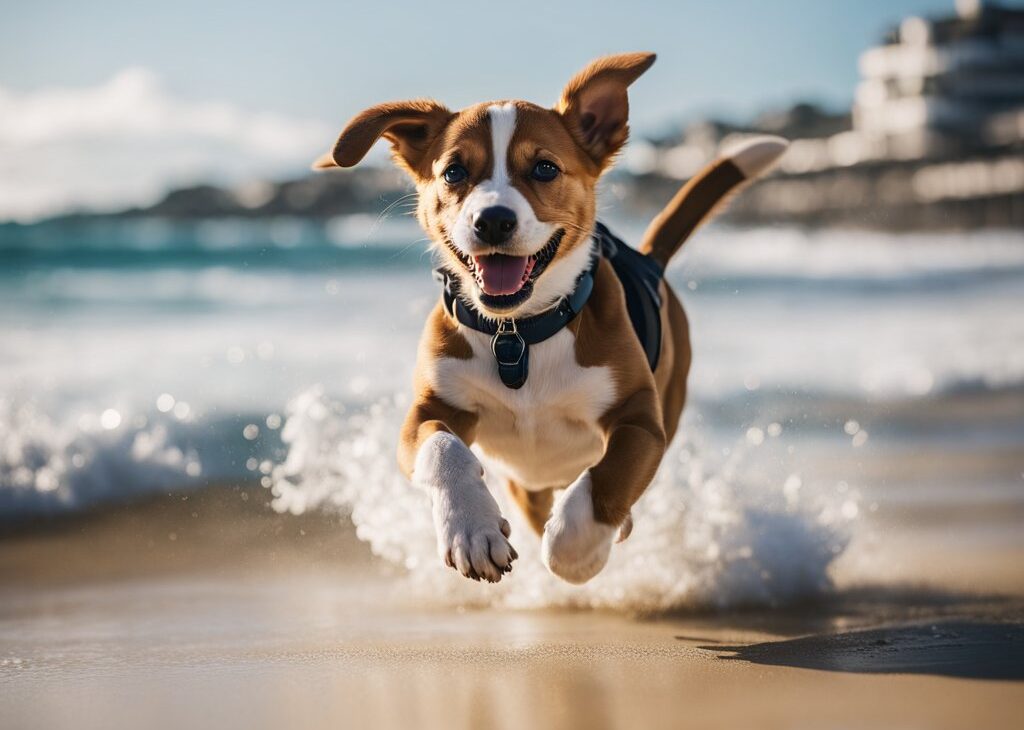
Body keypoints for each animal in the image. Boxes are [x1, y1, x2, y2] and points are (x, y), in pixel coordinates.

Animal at [315, 54, 786, 585]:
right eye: (454, 171)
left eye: (544, 168)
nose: (493, 220)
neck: (517, 334)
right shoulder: (430, 409)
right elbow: (443, 451)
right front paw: (471, 530)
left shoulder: (642, 419)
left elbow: (611, 475)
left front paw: (575, 549)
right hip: (527, 480)